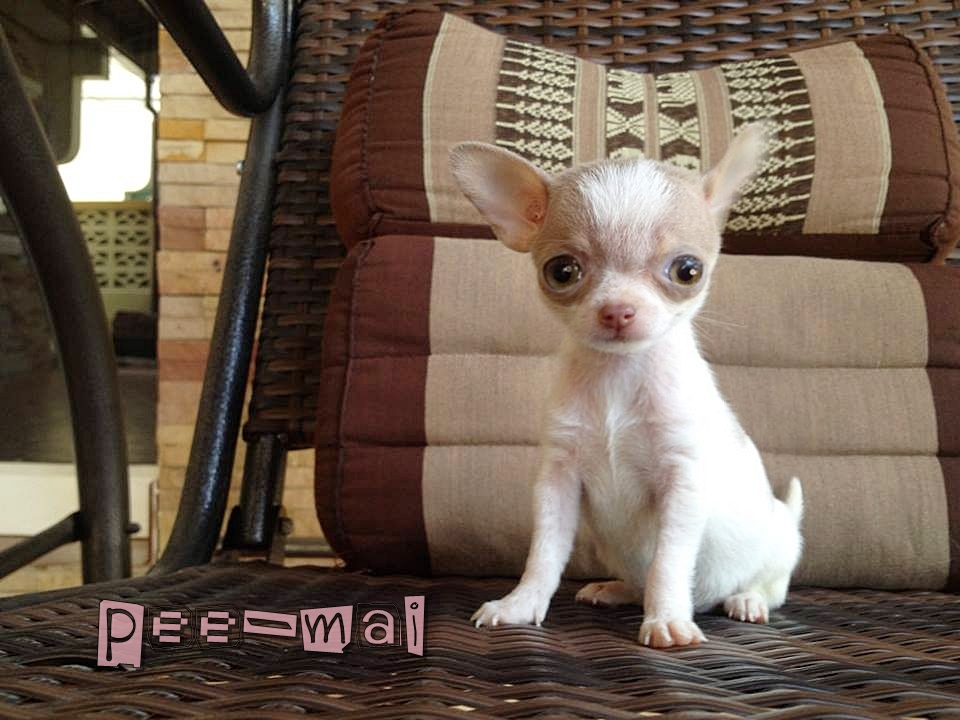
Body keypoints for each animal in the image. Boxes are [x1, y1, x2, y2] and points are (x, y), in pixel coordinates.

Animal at [449, 124, 804, 648]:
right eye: (562, 271)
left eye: (688, 270)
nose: (617, 309)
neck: (618, 377)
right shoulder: (558, 481)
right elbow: (544, 554)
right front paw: (521, 604)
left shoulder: (682, 484)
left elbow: (668, 563)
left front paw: (668, 619)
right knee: (636, 578)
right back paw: (616, 588)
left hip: (780, 542)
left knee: (771, 583)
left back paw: (746, 599)